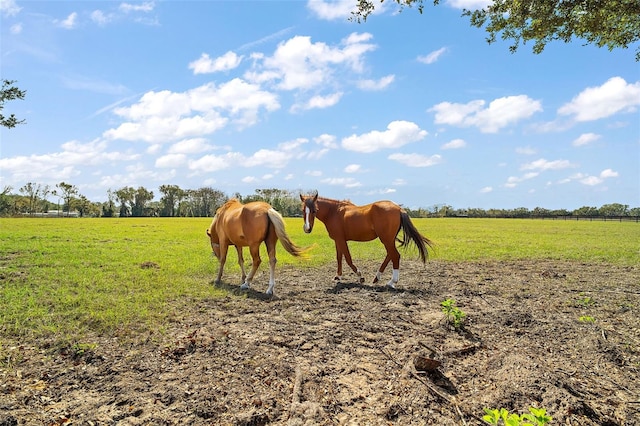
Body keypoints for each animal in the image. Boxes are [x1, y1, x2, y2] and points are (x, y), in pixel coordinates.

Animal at [302, 194, 436, 290]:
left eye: (315, 210)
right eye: (303, 210)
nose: (307, 229)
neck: (334, 212)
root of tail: (399, 209)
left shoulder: (341, 240)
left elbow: (348, 258)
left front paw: (360, 276)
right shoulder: (337, 240)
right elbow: (339, 258)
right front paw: (338, 276)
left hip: (386, 239)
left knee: (395, 256)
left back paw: (391, 282)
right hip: (388, 239)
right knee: (390, 255)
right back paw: (377, 278)